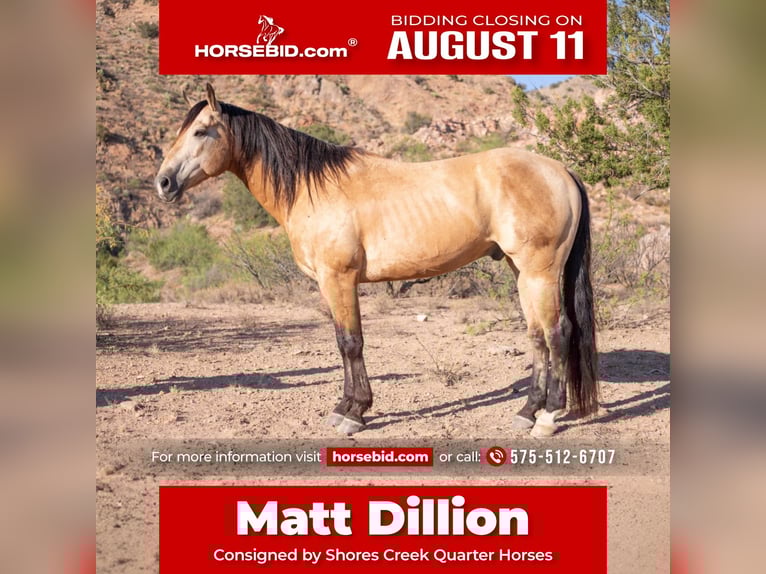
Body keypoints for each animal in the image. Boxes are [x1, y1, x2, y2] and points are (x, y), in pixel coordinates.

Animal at [155, 84, 599, 438]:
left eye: (200, 131)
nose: (163, 183)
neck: (313, 188)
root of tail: (561, 171)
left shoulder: (338, 279)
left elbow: (350, 343)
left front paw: (355, 413)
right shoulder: (331, 284)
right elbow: (342, 342)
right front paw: (345, 407)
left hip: (540, 270)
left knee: (558, 332)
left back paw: (548, 417)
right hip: (521, 271)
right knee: (537, 336)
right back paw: (526, 411)